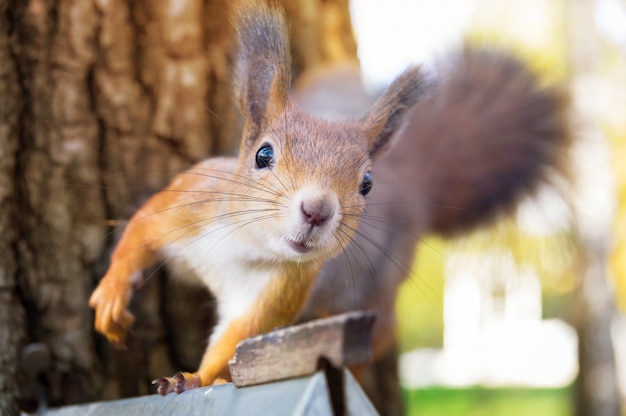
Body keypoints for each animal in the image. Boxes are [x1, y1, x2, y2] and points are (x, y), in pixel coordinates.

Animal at [88, 1, 572, 398]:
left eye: (366, 184)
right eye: (263, 154)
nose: (316, 211)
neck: (245, 243)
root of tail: (413, 179)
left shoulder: (281, 290)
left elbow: (237, 339)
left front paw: (195, 378)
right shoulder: (189, 202)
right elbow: (140, 230)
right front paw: (112, 293)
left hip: (374, 293)